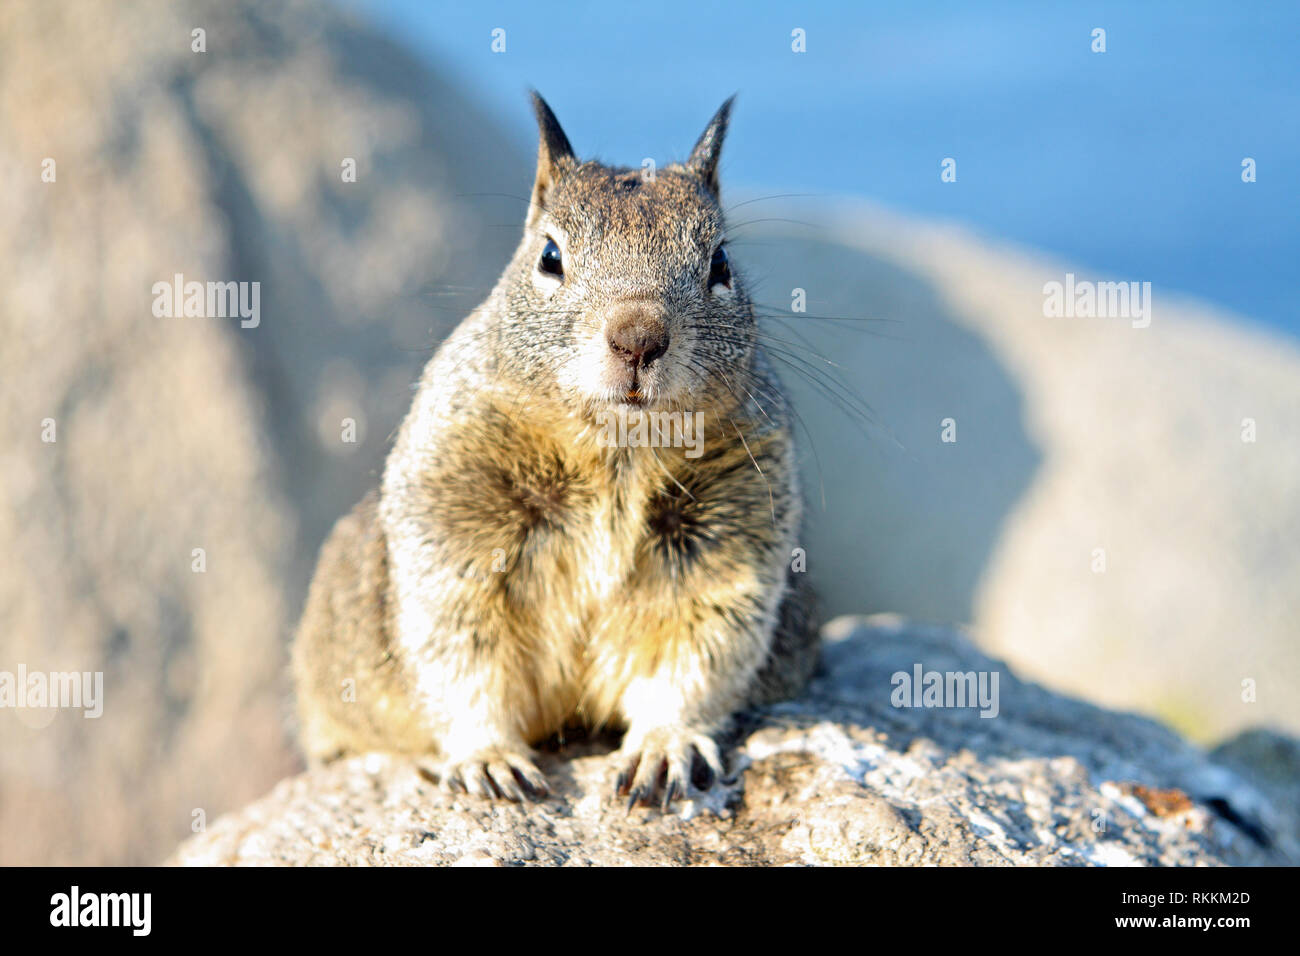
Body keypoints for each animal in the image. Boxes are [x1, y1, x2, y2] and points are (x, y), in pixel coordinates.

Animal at [297, 91, 821, 806]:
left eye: (720, 264)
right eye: (549, 256)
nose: (638, 338)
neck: (615, 450)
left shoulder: (729, 548)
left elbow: (696, 657)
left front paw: (665, 746)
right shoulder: (453, 526)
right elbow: (459, 655)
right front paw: (489, 758)